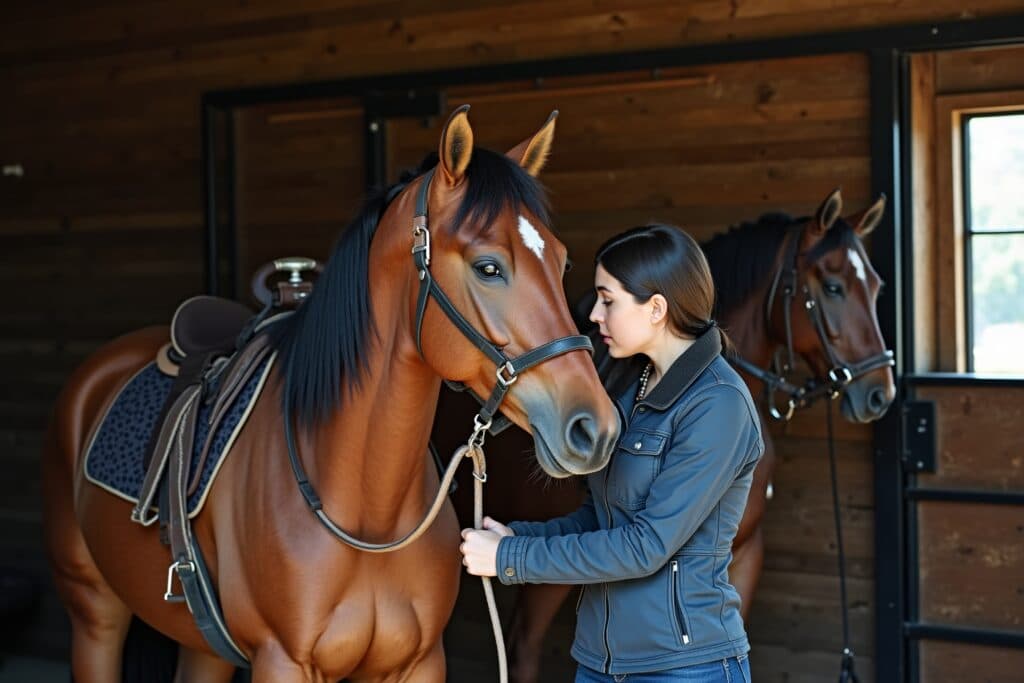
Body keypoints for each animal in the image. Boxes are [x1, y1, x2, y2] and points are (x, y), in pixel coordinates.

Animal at [41, 105, 622, 683]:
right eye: (488, 267)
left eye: (563, 263)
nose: (595, 427)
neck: (369, 512)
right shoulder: (282, 661)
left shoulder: (418, 663)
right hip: (93, 610)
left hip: (203, 646)